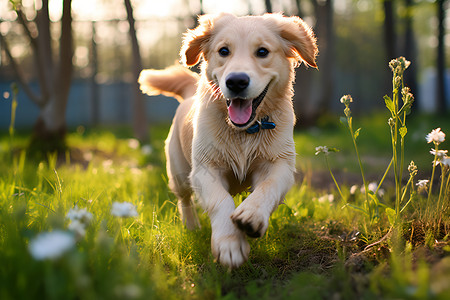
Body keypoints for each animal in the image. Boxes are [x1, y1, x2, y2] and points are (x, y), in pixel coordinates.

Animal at [139, 12, 318, 268]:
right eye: (224, 51)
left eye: (262, 51)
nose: (236, 81)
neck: (244, 132)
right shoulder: (205, 169)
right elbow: (221, 201)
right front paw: (229, 244)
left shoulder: (280, 164)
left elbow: (267, 187)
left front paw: (251, 215)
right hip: (179, 172)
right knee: (184, 200)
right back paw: (192, 227)